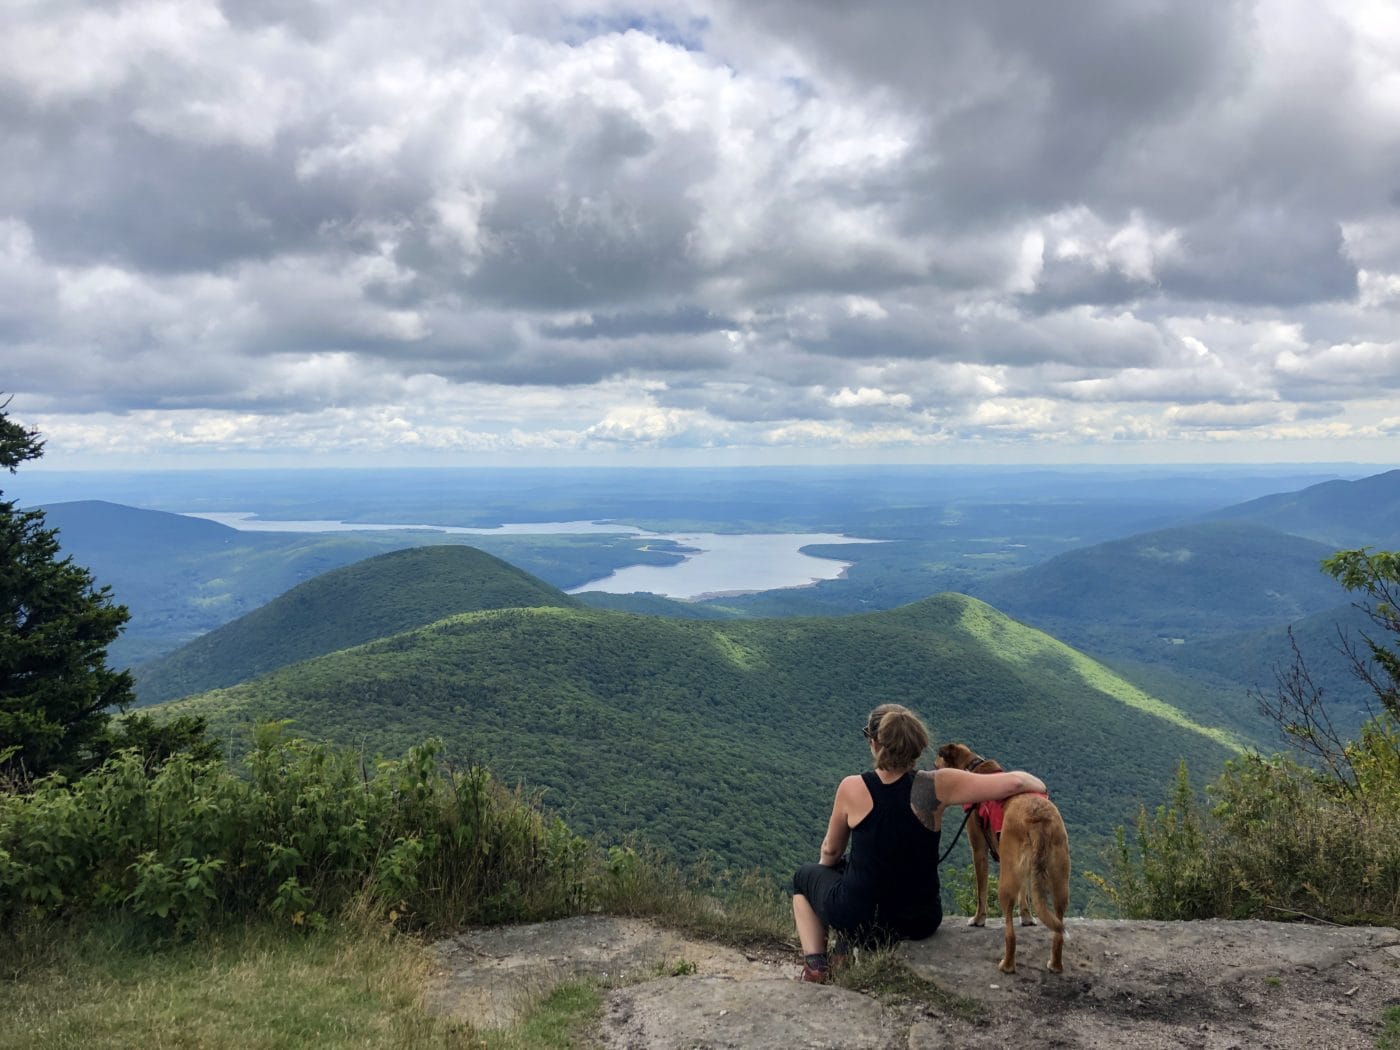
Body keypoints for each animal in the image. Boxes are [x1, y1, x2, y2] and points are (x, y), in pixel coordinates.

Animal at [940, 744, 1069, 974]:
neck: (974, 766)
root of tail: (1039, 818)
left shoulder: (979, 850)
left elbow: (981, 890)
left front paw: (978, 919)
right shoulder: (1023, 867)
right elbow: (1024, 894)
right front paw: (1027, 918)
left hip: (1006, 879)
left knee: (1009, 933)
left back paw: (1007, 965)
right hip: (1060, 879)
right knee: (1058, 929)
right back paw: (1055, 964)